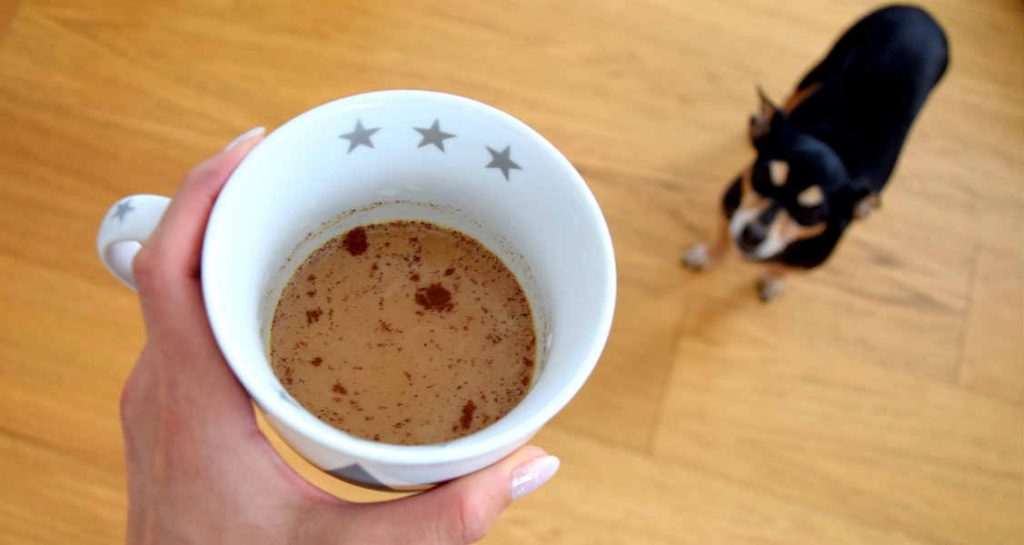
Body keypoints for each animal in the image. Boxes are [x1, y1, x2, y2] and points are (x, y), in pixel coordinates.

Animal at [684, 5, 946, 303]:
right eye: (762, 177)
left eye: (811, 215)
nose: (753, 234)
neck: (833, 146)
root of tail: (921, 12)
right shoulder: (730, 207)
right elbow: (723, 237)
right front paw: (708, 256)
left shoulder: (810, 260)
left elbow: (784, 268)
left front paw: (774, 280)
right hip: (823, 66)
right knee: (792, 97)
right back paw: (766, 121)